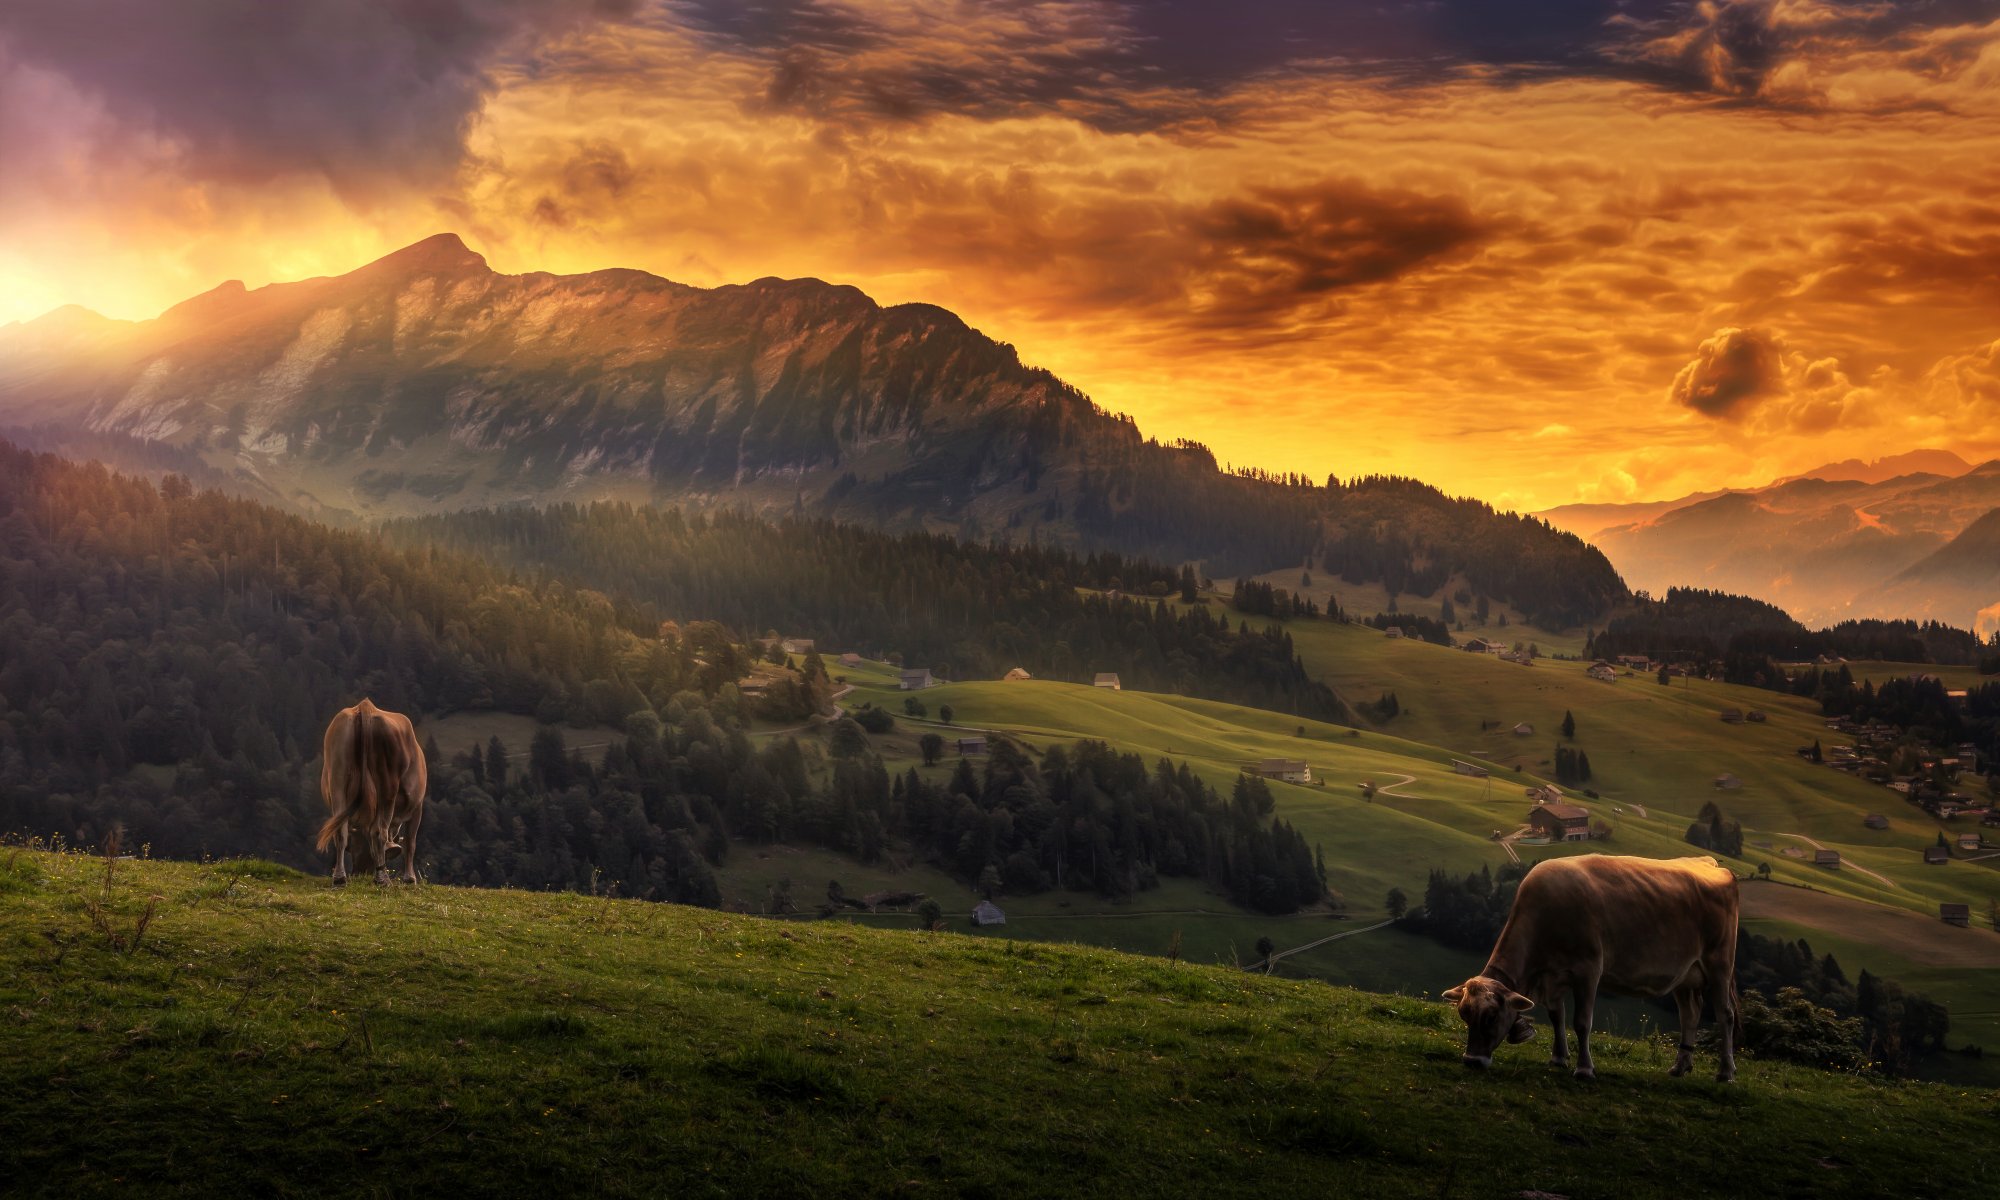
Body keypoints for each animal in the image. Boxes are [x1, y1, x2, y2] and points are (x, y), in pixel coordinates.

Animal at [312, 700, 426, 884]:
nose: (360, 872)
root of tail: (365, 707)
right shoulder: (417, 806)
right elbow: (410, 842)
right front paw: (410, 879)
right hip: (387, 785)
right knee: (378, 831)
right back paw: (383, 879)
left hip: (337, 778)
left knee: (340, 831)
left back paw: (339, 878)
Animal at [1440, 856, 1736, 1080]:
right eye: (1464, 1014)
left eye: (1491, 1016)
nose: (1472, 1060)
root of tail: (1708, 862)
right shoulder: (1552, 976)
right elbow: (1557, 1017)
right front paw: (1558, 1058)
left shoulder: (1588, 970)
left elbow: (1582, 1022)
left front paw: (1584, 1069)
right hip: (1686, 974)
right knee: (1690, 1015)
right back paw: (1680, 1066)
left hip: (1720, 963)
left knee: (1725, 1014)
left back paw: (1725, 1072)